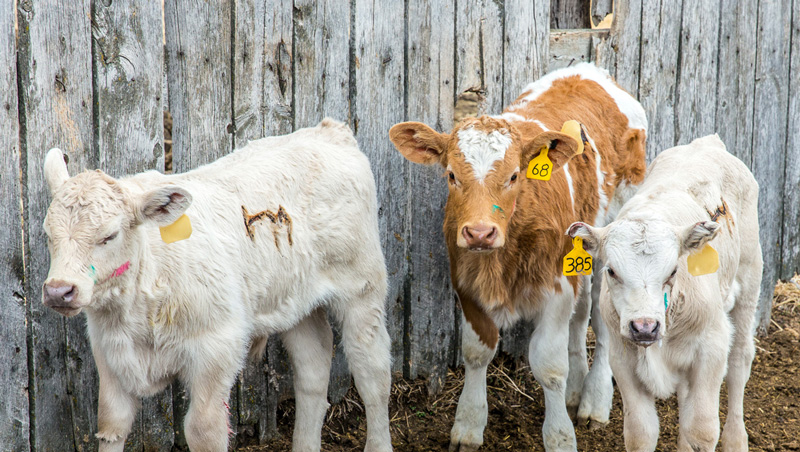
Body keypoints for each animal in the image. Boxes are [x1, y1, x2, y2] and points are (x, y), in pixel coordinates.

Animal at [39, 118, 394, 450]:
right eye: (48, 234)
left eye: (109, 236)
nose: (59, 290)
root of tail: (329, 131)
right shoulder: (109, 354)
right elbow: (112, 422)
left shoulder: (218, 346)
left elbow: (204, 429)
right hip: (296, 300)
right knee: (313, 367)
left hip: (362, 287)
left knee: (372, 371)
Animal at [390, 61, 648, 450]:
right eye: (451, 175)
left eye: (514, 176)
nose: (479, 232)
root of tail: (590, 70)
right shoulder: (466, 282)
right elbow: (477, 352)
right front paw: (468, 425)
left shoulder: (556, 288)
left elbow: (549, 366)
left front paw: (559, 436)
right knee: (582, 313)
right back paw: (577, 390)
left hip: (612, 237)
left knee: (603, 319)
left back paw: (595, 401)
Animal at [568, 135, 764, 452]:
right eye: (610, 271)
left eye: (673, 271)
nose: (644, 327)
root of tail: (708, 143)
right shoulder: (623, 358)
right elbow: (640, 432)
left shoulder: (712, 348)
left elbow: (701, 431)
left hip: (748, 281)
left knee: (740, 362)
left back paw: (736, 440)